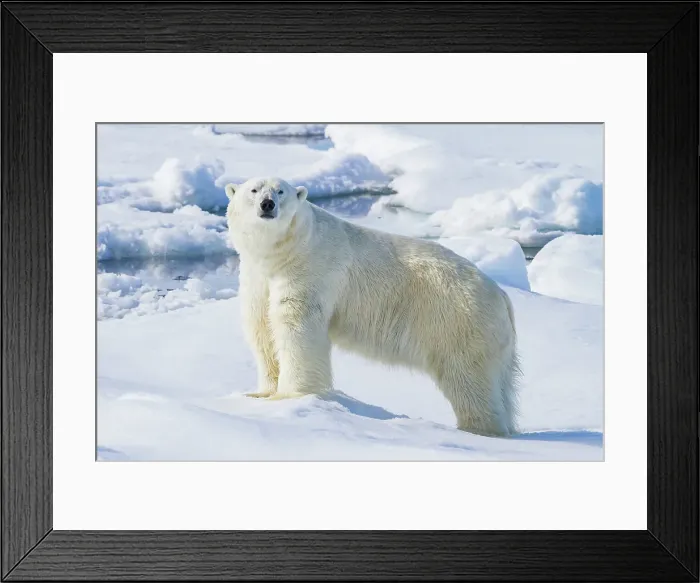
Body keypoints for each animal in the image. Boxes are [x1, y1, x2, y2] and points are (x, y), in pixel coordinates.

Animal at [225, 177, 521, 436]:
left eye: (281, 191)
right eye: (253, 190)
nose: (267, 205)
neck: (284, 253)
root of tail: (502, 295)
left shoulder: (309, 270)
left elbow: (295, 328)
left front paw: (290, 396)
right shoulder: (257, 278)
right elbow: (262, 327)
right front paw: (261, 393)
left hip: (459, 322)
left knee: (469, 379)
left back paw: (479, 429)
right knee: (501, 385)